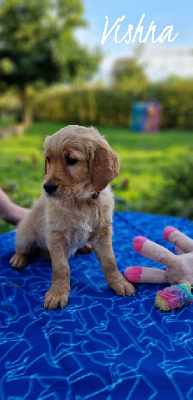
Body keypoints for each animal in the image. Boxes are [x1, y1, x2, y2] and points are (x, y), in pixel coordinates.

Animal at [10, 125, 134, 310]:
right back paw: (19, 258)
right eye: (48, 159)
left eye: (71, 160)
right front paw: (57, 293)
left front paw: (119, 282)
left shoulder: (102, 232)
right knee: (24, 248)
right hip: (25, 232)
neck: (82, 201)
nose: (47, 187)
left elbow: (110, 261)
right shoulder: (56, 234)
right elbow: (61, 268)